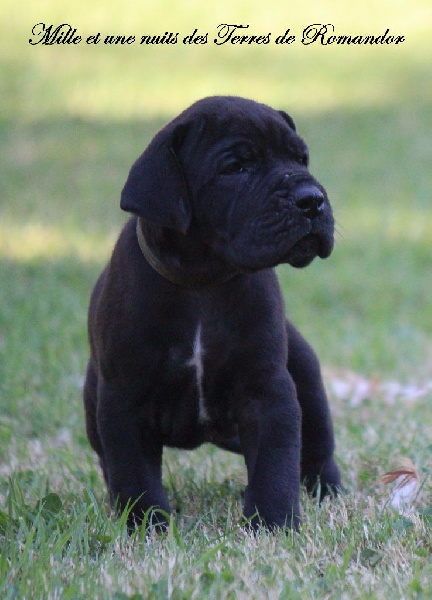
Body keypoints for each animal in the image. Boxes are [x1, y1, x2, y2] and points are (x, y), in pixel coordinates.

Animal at [83, 96, 341, 531]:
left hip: (305, 370)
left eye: (301, 158)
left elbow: (276, 463)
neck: (204, 282)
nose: (311, 199)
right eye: (235, 167)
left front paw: (273, 523)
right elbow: (134, 473)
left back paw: (328, 491)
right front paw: (147, 525)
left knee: (317, 445)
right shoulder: (123, 400)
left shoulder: (268, 390)